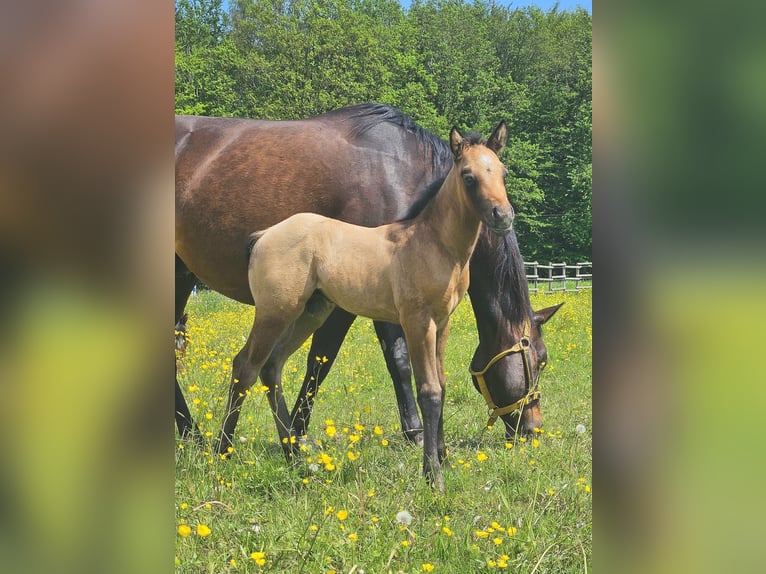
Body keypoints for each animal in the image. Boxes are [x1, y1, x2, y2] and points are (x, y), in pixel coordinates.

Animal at [174, 103, 560, 448]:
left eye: (504, 174)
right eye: (539, 360)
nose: (533, 429)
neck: (402, 176)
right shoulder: (357, 300)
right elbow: (350, 361)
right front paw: (414, 433)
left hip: (184, 276)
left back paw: (190, 432)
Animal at [216, 122, 516, 490]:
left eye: (502, 172)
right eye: (468, 176)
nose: (503, 216)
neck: (433, 243)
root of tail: (264, 235)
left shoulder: (442, 323)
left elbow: (443, 386)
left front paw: (444, 459)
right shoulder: (417, 321)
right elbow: (429, 391)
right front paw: (433, 476)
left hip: (309, 313)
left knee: (271, 366)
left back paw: (292, 455)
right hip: (275, 312)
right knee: (245, 365)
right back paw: (222, 452)